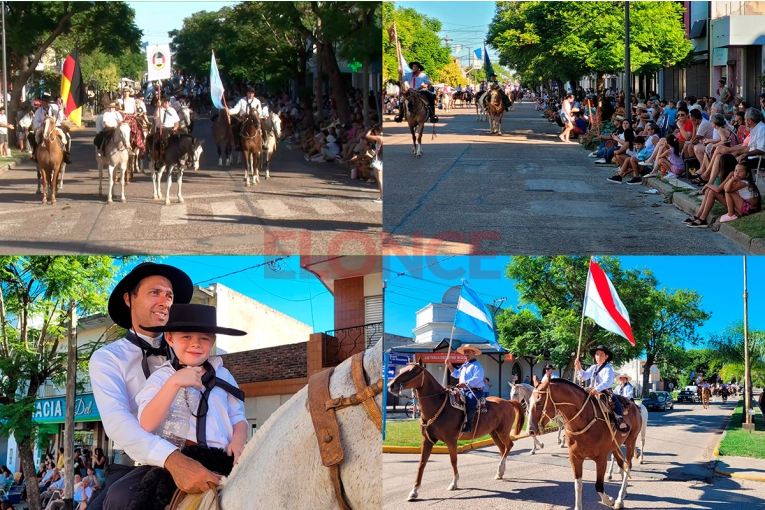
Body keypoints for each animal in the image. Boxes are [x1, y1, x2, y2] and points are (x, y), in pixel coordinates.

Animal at [388, 362, 524, 502]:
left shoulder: (451, 440)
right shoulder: (427, 440)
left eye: (413, 371)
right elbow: (421, 463)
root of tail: (508, 402)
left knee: (509, 446)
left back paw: (500, 468)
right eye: (401, 370)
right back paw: (500, 472)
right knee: (503, 449)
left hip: (503, 432)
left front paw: (454, 483)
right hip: (494, 433)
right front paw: (414, 491)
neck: (439, 405)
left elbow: (453, 460)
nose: (391, 385)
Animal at [528, 376, 640, 508]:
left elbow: (598, 486)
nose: (530, 430)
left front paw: (609, 500)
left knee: (628, 465)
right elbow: (578, 485)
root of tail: (634, 405)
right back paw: (623, 493)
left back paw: (619, 500)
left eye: (539, 402)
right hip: (615, 446)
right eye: (529, 401)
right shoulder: (575, 457)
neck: (584, 419)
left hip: (631, 441)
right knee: (622, 464)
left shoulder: (601, 458)